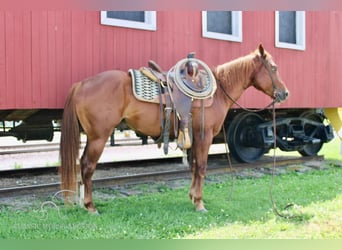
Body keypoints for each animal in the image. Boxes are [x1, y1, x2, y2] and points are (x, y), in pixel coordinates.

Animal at [59, 44, 288, 213]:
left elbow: (194, 166)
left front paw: (193, 197)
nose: (285, 93)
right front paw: (200, 204)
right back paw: (90, 207)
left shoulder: (194, 136)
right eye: (274, 68)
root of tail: (81, 84)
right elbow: (202, 167)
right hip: (99, 137)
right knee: (87, 166)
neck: (217, 91)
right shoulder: (204, 136)